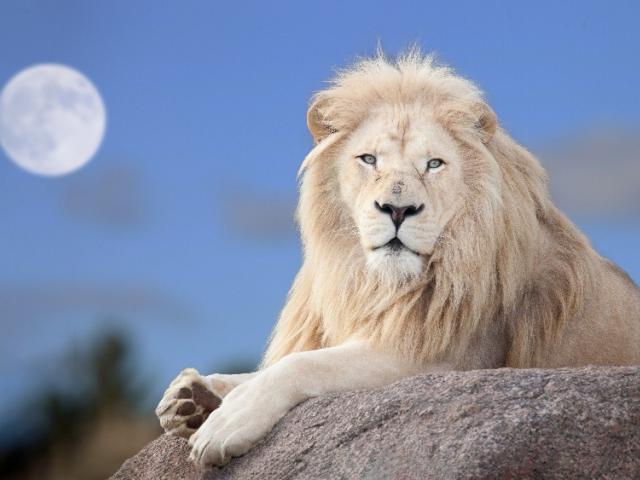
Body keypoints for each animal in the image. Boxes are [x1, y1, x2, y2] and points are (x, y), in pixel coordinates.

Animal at [156, 49, 640, 468]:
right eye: (369, 159)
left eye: (434, 164)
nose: (398, 209)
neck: (376, 281)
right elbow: (275, 366)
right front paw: (193, 395)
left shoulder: (443, 359)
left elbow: (304, 364)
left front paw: (226, 422)